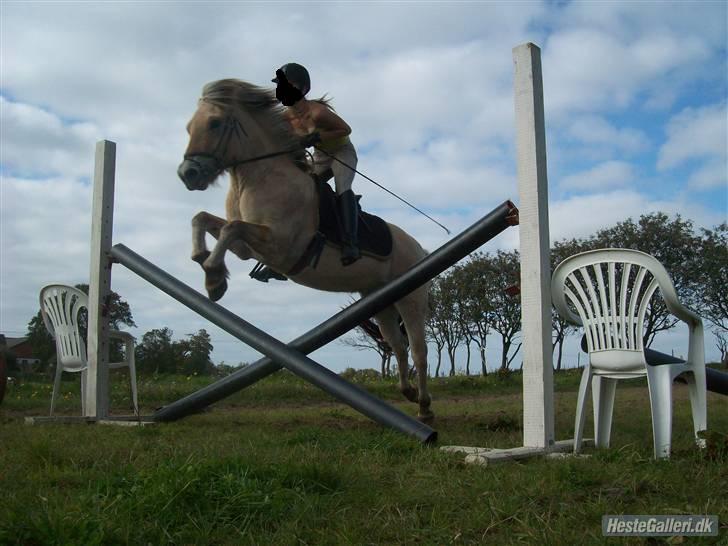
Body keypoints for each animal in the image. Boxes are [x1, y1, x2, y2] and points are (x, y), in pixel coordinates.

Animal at [177, 77, 436, 420]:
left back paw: (424, 407)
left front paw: (214, 278)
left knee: (418, 349)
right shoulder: (249, 249)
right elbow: (204, 219)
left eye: (215, 123)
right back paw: (407, 392)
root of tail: (419, 247)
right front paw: (207, 267)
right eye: (189, 127)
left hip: (411, 297)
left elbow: (230, 229)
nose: (187, 175)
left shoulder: (281, 244)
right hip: (380, 300)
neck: (256, 178)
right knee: (397, 344)